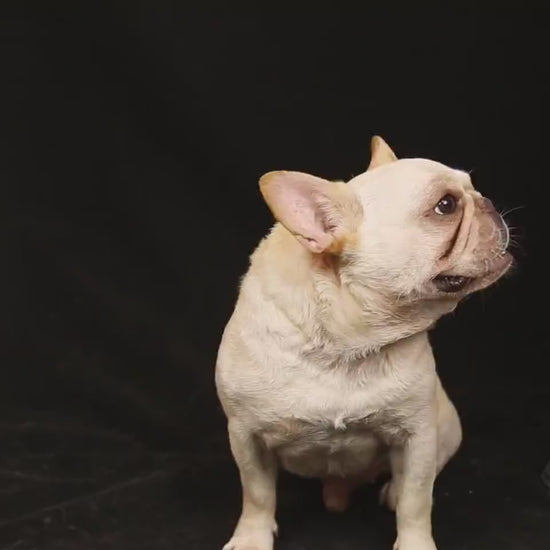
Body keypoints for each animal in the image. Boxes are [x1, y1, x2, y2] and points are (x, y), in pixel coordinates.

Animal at [216, 138, 512, 550]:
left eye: (471, 188)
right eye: (446, 205)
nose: (486, 202)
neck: (347, 341)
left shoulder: (418, 436)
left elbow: (417, 500)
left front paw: (415, 541)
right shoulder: (247, 436)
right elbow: (257, 494)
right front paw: (251, 538)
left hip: (447, 425)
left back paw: (392, 490)